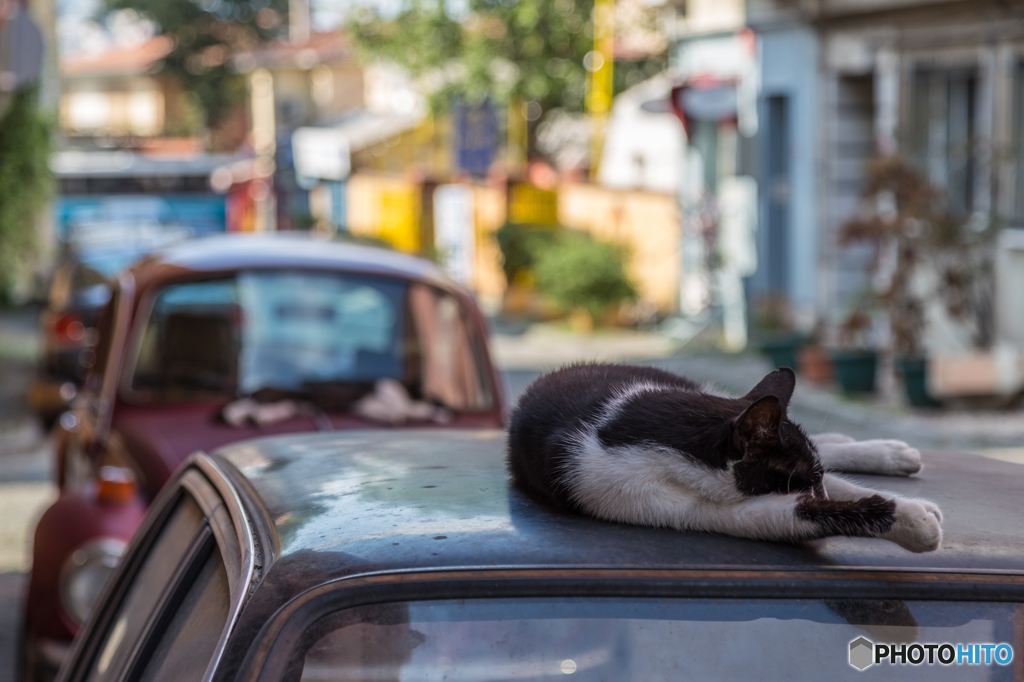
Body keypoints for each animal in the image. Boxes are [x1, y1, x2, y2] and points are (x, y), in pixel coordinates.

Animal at [507, 364, 946, 548]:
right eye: (806, 479)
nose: (818, 487)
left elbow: (831, 488)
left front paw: (907, 510)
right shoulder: (646, 499)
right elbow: (787, 515)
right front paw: (910, 523)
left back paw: (884, 453)